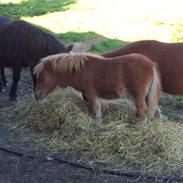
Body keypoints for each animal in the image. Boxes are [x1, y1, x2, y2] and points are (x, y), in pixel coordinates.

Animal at [33, 52, 161, 122]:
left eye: (42, 78)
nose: (36, 96)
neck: (80, 70)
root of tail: (151, 63)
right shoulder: (87, 94)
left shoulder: (91, 93)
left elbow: (96, 108)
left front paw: (98, 123)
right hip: (145, 95)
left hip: (138, 95)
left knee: (144, 111)